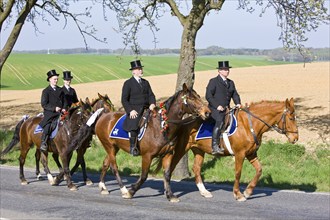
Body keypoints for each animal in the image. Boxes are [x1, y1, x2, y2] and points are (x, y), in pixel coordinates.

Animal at [74, 83, 209, 202]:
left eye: (198, 96)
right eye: (192, 98)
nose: (207, 112)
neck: (161, 126)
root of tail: (103, 116)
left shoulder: (168, 154)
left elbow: (167, 175)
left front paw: (170, 195)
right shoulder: (147, 156)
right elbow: (144, 176)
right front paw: (130, 192)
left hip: (114, 147)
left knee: (106, 163)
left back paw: (103, 187)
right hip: (109, 146)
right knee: (114, 167)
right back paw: (123, 189)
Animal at [168, 98, 300, 201]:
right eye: (291, 118)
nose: (295, 138)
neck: (249, 125)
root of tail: (184, 121)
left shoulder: (251, 154)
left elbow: (259, 170)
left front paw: (248, 191)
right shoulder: (240, 154)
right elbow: (238, 173)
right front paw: (238, 194)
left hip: (199, 150)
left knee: (196, 168)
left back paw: (204, 192)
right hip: (182, 148)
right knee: (172, 166)